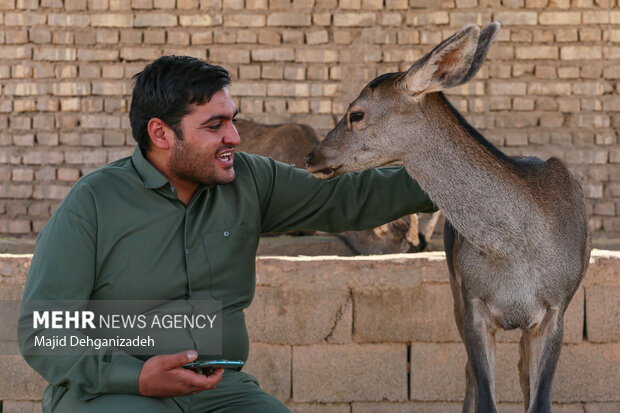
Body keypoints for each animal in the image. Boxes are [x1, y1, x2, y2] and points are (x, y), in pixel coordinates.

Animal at [306, 23, 592, 412]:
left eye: (356, 114)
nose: (312, 156)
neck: (518, 255)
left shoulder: (556, 308)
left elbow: (540, 400)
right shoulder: (473, 303)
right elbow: (484, 393)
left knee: (520, 371)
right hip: (453, 288)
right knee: (470, 370)